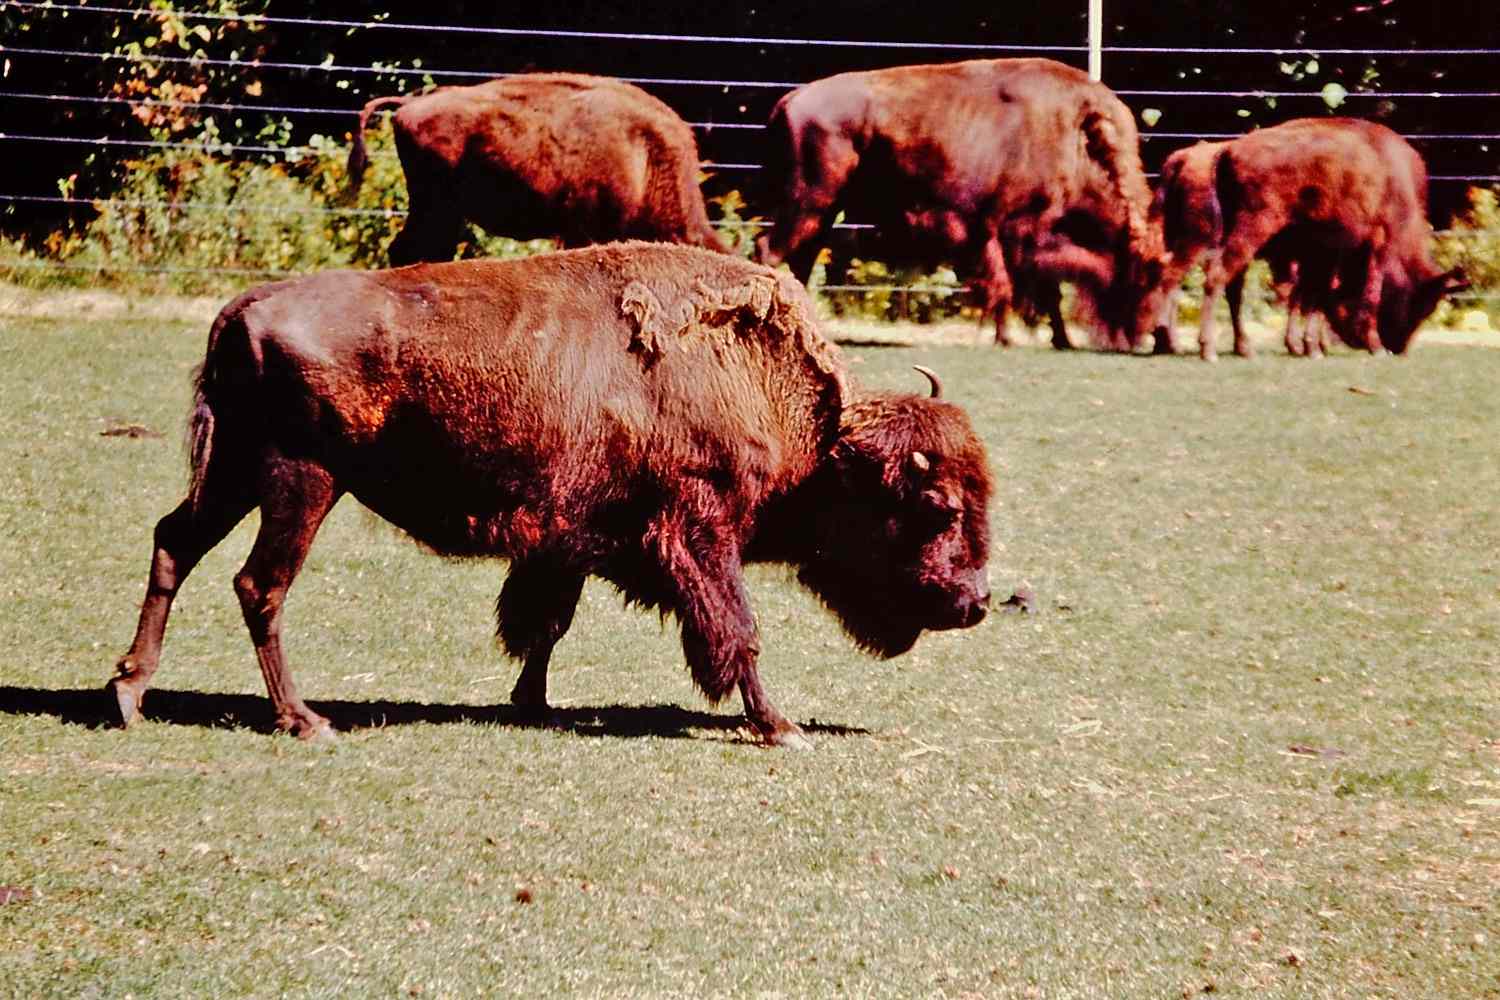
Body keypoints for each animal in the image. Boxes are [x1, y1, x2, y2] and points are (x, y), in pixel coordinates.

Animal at [109, 243, 993, 748]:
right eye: (938, 508)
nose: (977, 601)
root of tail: (242, 307)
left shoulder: (564, 542)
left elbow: (544, 625)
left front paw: (531, 703)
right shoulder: (701, 535)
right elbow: (737, 633)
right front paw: (780, 728)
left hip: (236, 473)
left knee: (174, 542)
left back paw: (129, 694)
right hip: (301, 481)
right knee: (260, 585)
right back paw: (304, 720)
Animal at [754, 58, 1168, 350]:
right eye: (1149, 276)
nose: (1152, 334)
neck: (1077, 140)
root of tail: (790, 100)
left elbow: (1039, 290)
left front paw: (1058, 338)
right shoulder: (1008, 231)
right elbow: (1009, 286)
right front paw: (1007, 337)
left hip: (822, 209)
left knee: (800, 260)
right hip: (808, 202)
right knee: (770, 250)